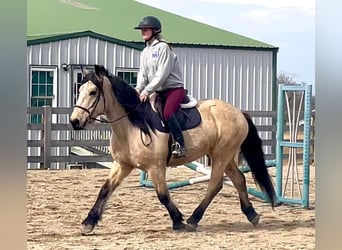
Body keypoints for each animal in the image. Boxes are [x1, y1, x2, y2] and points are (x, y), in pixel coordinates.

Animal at [69, 65, 276, 233]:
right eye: (79, 90)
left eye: (93, 92)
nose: (74, 121)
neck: (132, 126)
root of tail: (239, 112)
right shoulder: (122, 165)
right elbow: (105, 190)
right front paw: (88, 222)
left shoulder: (155, 167)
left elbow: (162, 195)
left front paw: (178, 221)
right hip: (224, 156)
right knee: (239, 180)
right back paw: (251, 214)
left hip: (221, 155)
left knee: (215, 184)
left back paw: (193, 219)